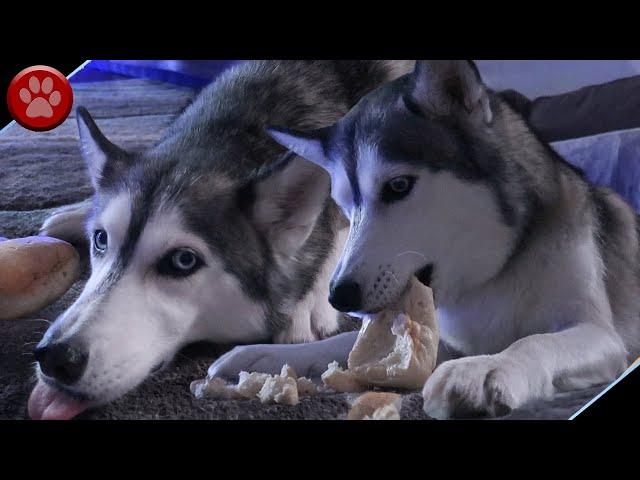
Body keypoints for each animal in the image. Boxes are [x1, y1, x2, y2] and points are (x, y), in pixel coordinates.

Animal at [212, 60, 636, 418]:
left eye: (398, 186)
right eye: (346, 205)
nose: (339, 296)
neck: (490, 276)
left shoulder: (599, 334)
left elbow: (535, 341)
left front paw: (489, 366)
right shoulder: (439, 337)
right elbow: (343, 345)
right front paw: (261, 356)